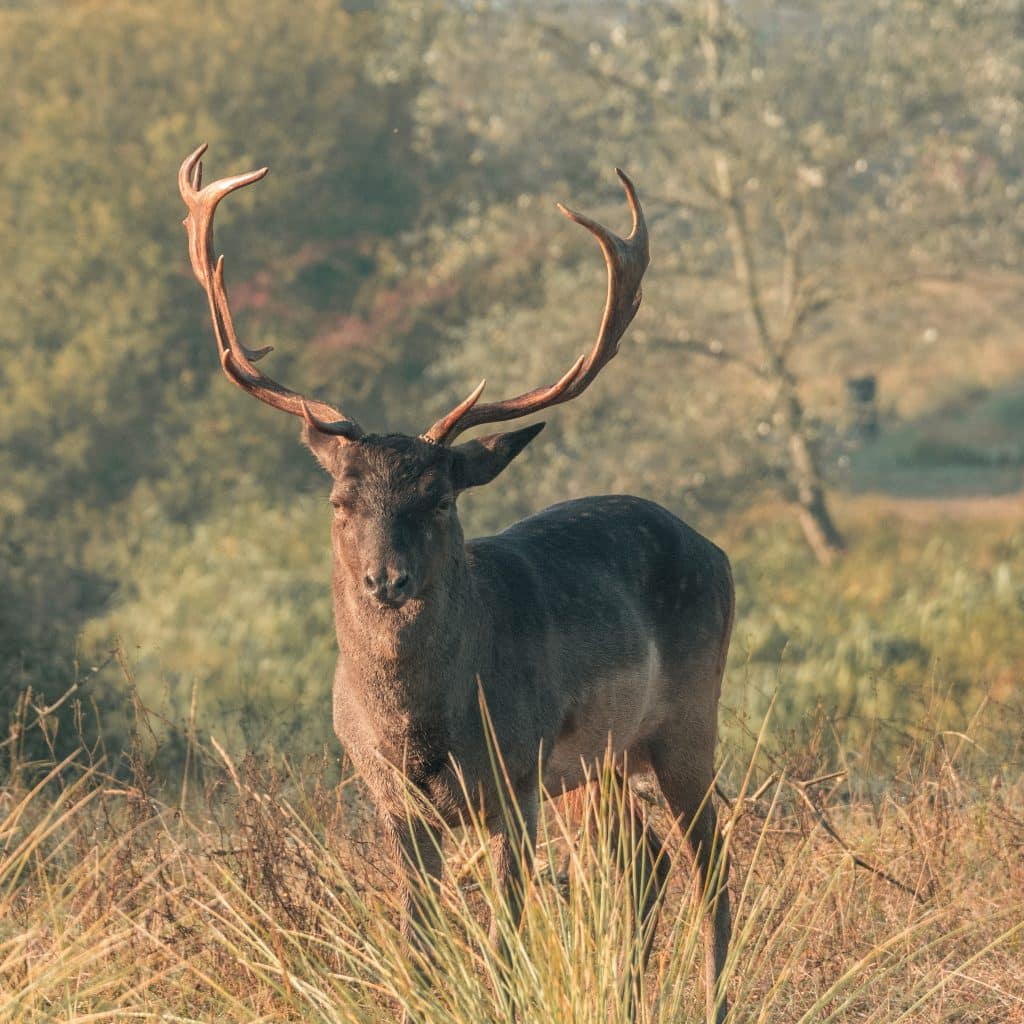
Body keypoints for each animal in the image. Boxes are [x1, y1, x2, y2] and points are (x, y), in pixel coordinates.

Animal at [178, 144, 737, 1024]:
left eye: (439, 499)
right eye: (340, 499)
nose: (386, 579)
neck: (422, 731)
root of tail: (715, 549)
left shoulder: (515, 777)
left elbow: (507, 940)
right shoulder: (394, 805)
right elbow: (420, 945)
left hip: (685, 719)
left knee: (709, 862)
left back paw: (711, 997)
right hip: (597, 765)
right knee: (640, 859)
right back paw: (626, 993)